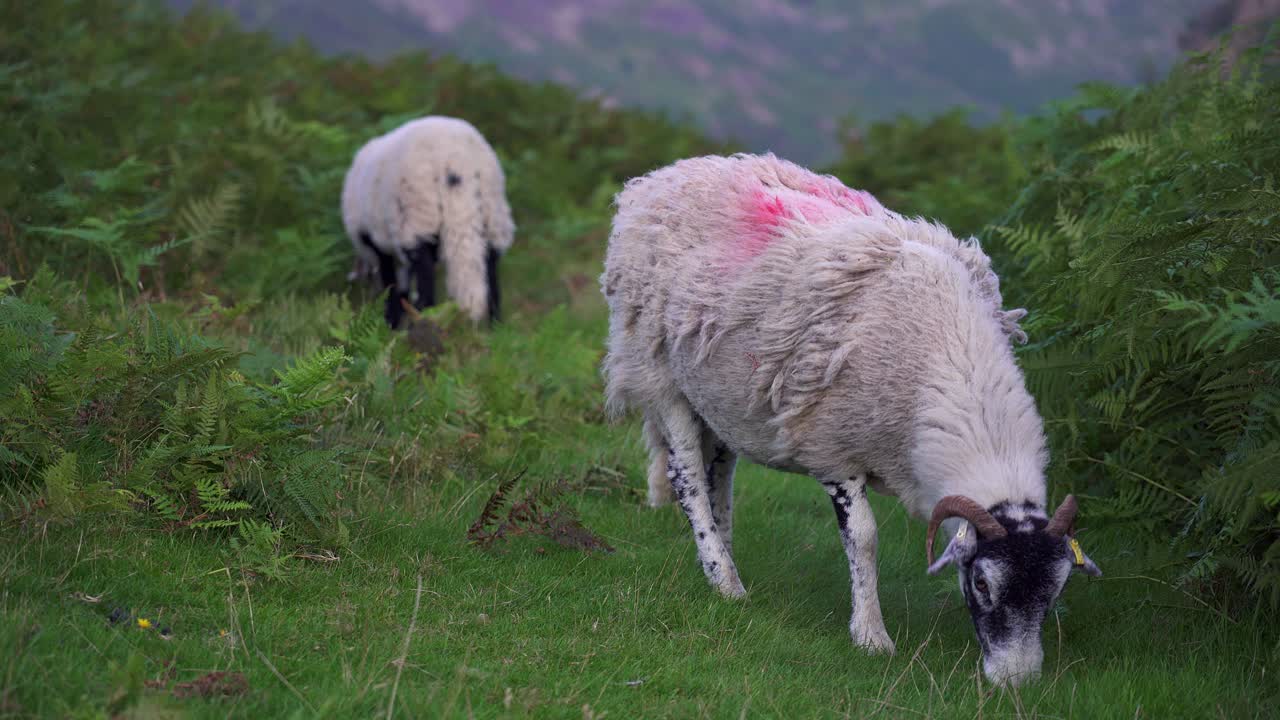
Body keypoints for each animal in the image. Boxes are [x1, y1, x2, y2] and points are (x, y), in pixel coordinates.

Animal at [342, 116, 515, 328]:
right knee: (492, 284)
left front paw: (390, 323)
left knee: (425, 292)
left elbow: (392, 287)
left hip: (418, 218)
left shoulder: (379, 243)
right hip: (492, 216)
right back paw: (495, 331)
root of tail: (458, 164)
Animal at [600, 153, 1100, 686]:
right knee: (687, 475)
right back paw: (724, 578)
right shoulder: (834, 449)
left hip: (715, 391)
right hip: (655, 368)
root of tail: (662, 176)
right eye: (983, 585)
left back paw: (724, 548)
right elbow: (863, 538)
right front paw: (871, 636)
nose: (1016, 680)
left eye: (1056, 591)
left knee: (720, 470)